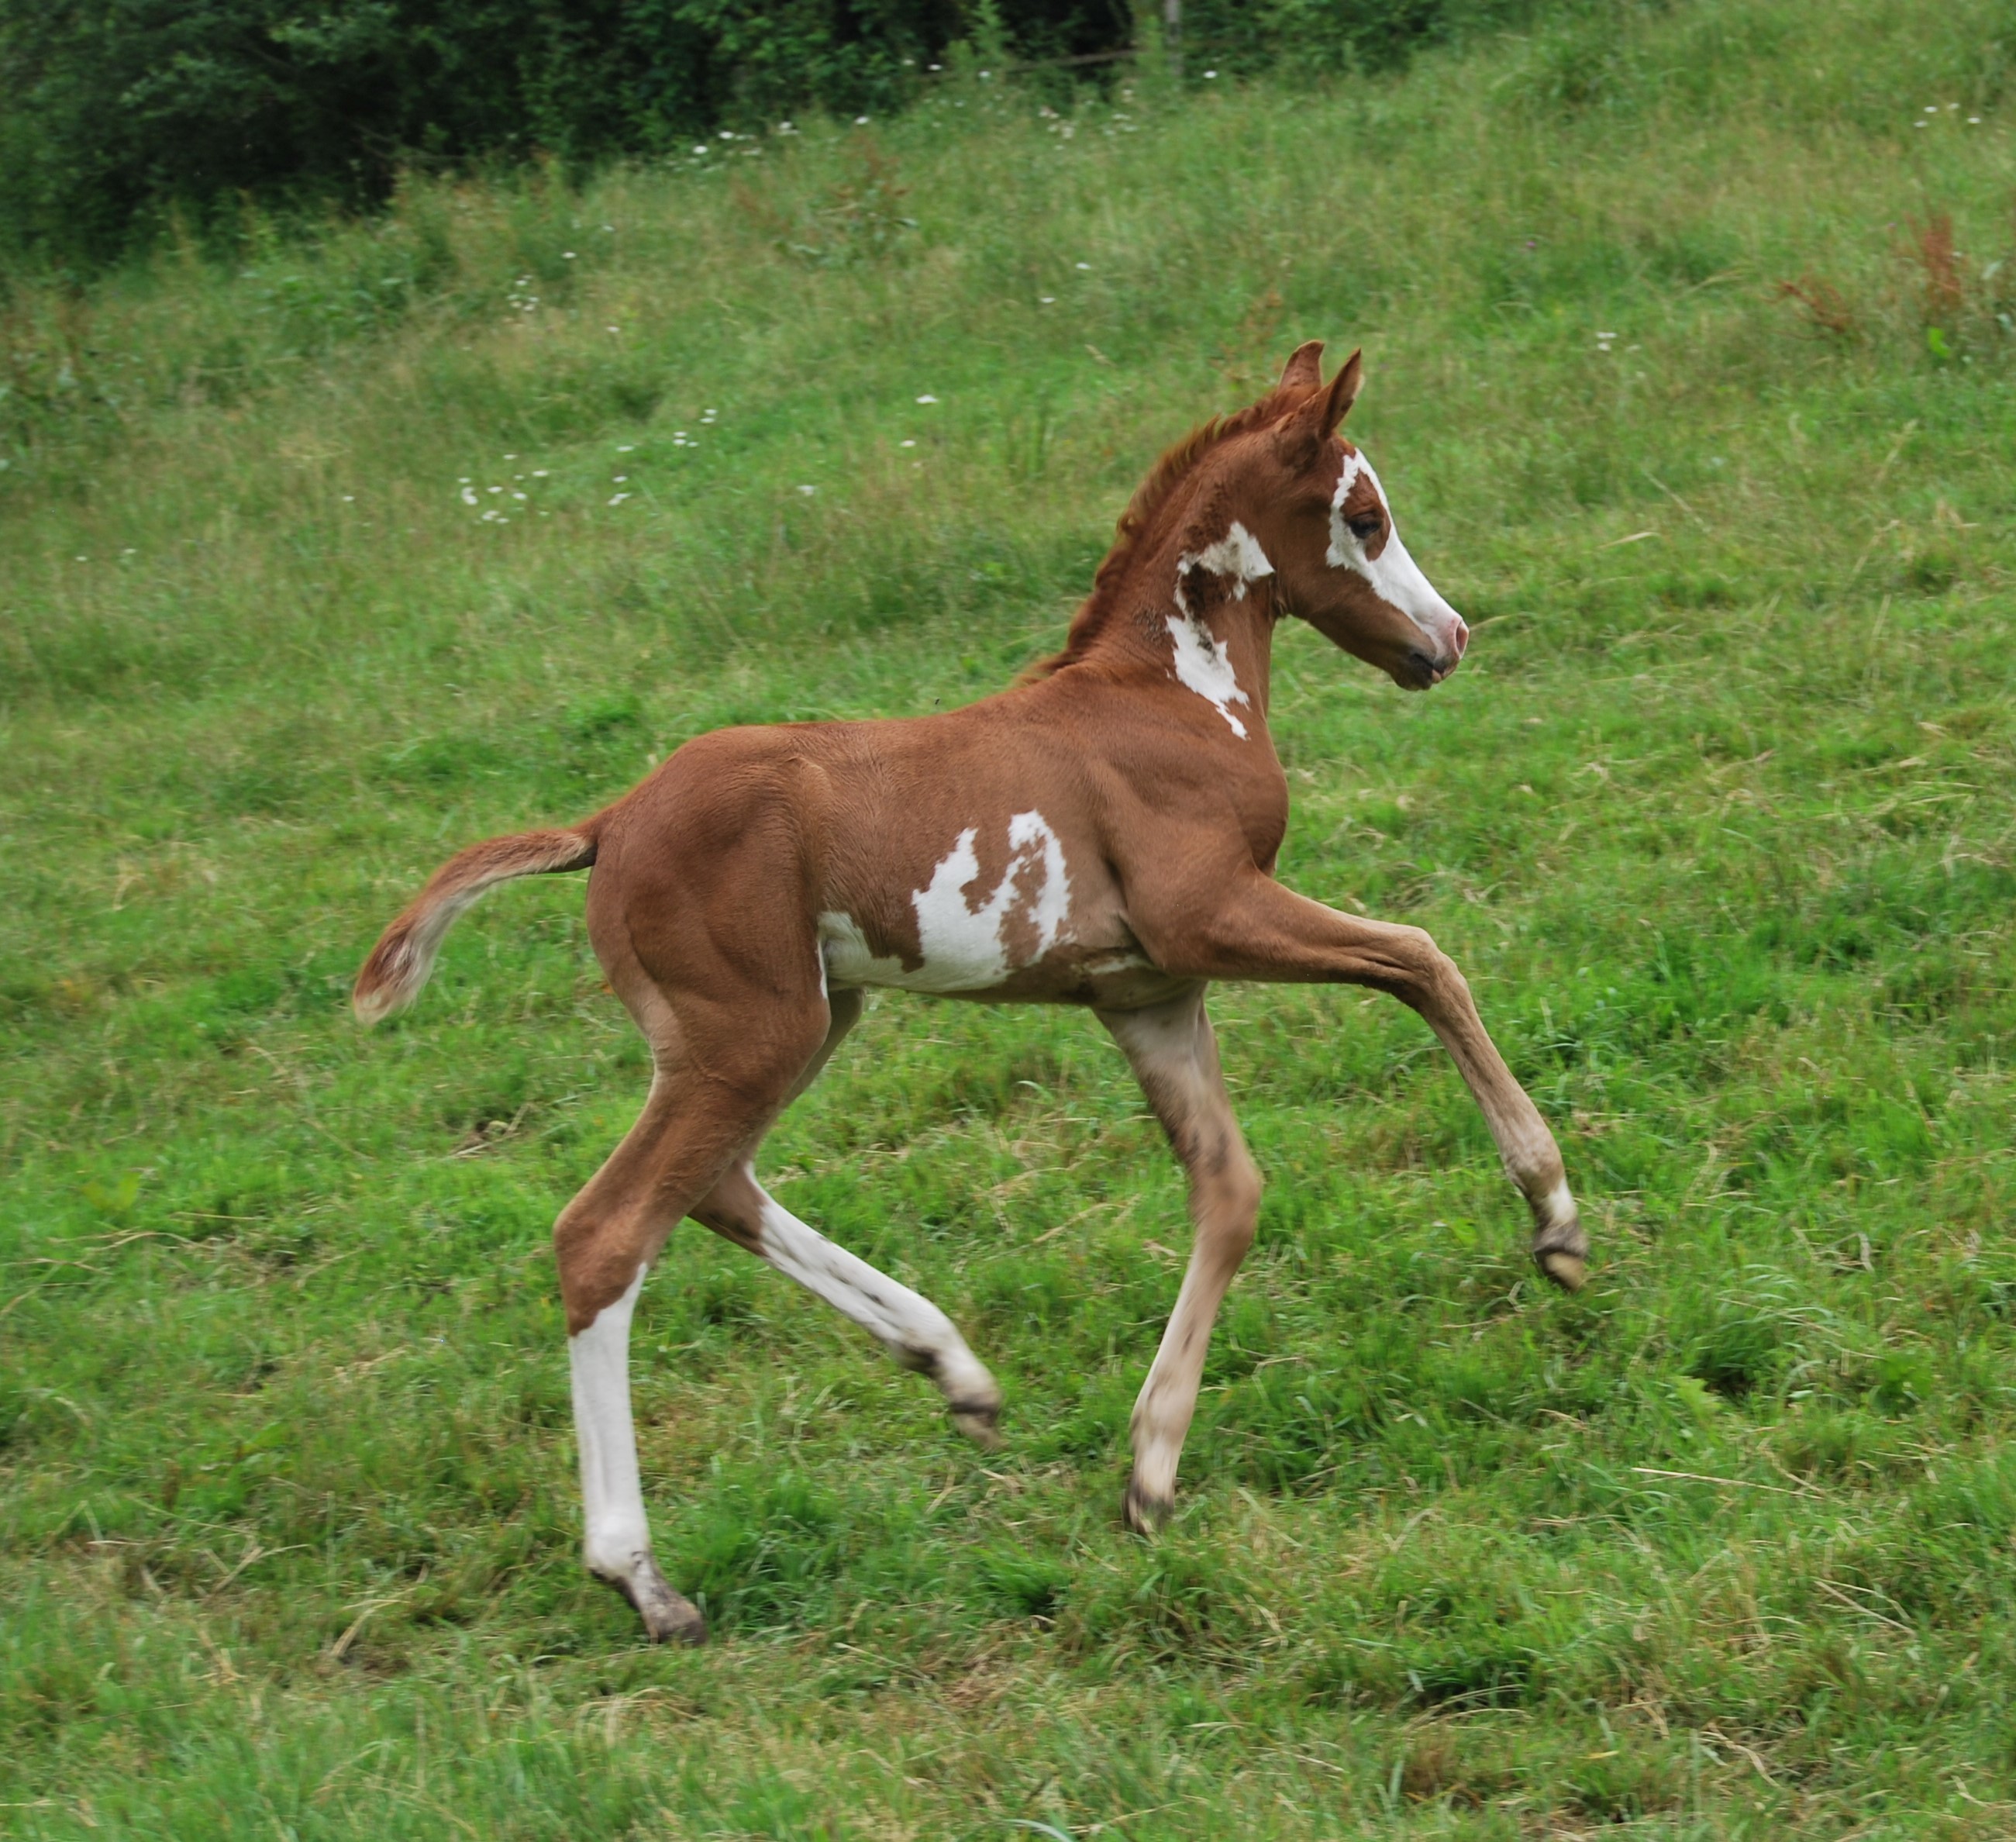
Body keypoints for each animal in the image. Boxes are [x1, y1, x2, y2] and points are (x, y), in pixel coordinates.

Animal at [358, 345, 1588, 1638]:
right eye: (1364, 517)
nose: (1448, 639)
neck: (1166, 693)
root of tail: (606, 824)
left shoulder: (1145, 989)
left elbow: (1232, 1190)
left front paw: (1150, 1468)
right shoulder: (1211, 911)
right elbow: (1422, 957)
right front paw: (1555, 1221)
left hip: (798, 1023)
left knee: (716, 1188)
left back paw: (954, 1368)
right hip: (754, 1034)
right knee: (606, 1233)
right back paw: (641, 1576)